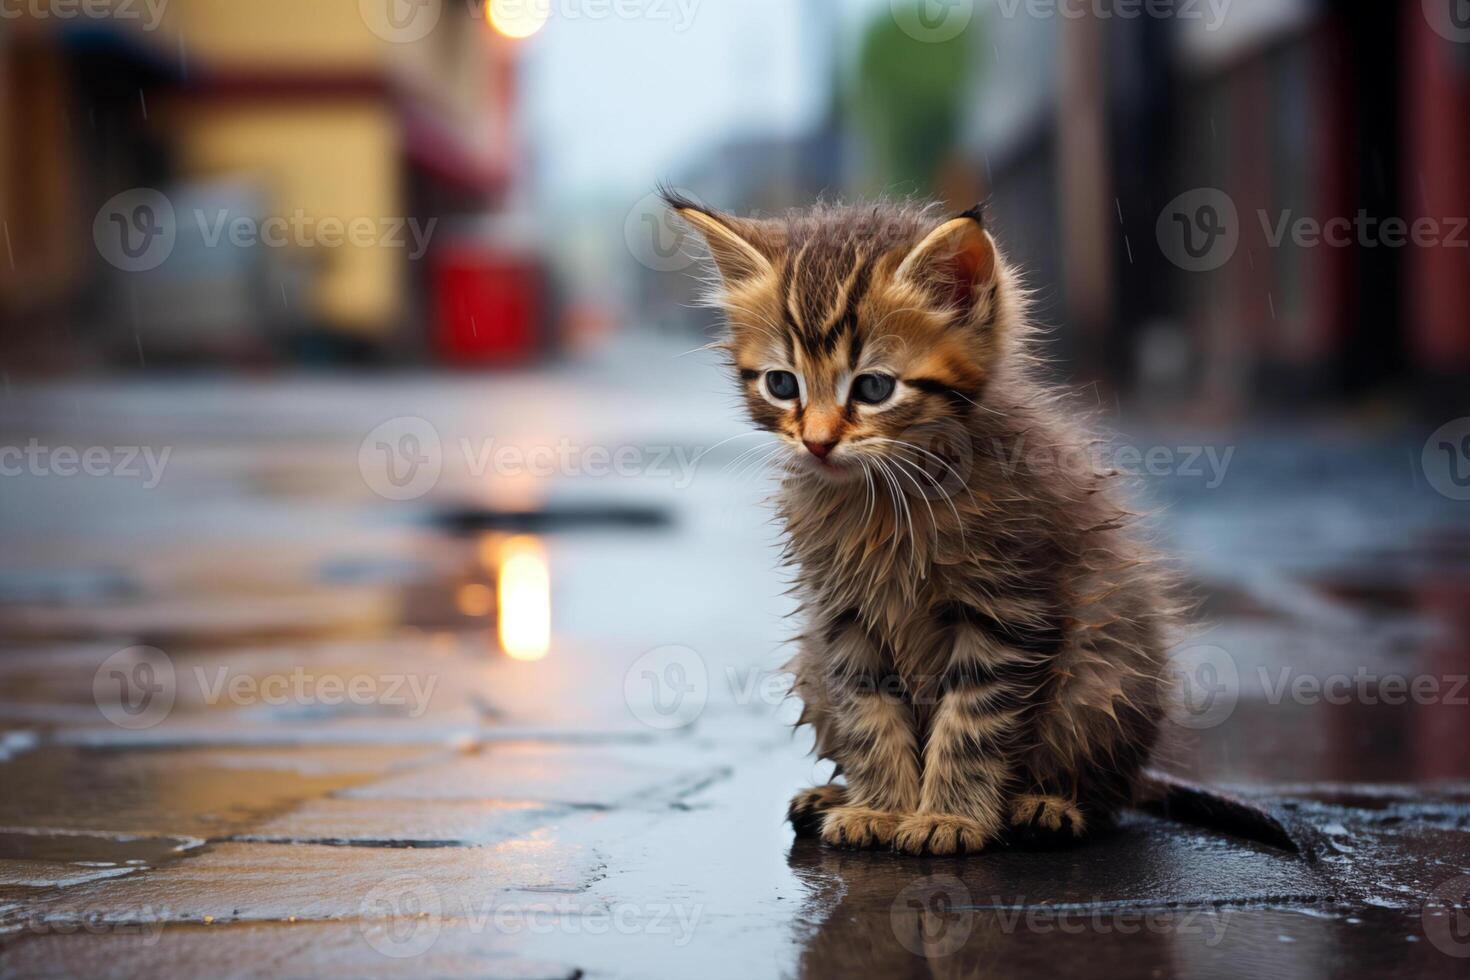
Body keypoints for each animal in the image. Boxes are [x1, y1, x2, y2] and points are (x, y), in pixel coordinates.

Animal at [673, 189, 1176, 852]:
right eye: (783, 384)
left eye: (873, 389)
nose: (817, 443)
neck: (887, 496)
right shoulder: (842, 615)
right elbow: (867, 711)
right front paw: (880, 808)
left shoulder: (1007, 610)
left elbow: (973, 720)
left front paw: (950, 816)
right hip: (811, 662)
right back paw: (833, 795)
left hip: (1106, 672)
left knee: (1108, 786)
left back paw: (1048, 804)